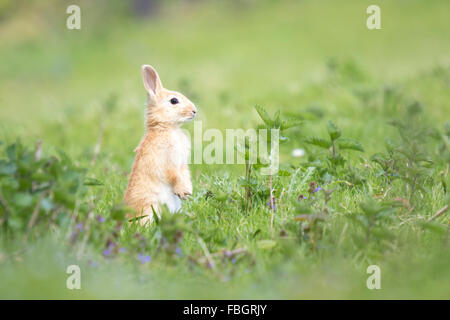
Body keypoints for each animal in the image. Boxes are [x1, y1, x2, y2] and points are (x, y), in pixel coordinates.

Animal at [125, 64, 199, 225]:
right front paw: (183, 191)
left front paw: (187, 192)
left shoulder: (182, 163)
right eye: (174, 101)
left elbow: (185, 173)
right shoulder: (165, 162)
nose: (194, 111)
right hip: (149, 207)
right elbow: (174, 175)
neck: (166, 128)